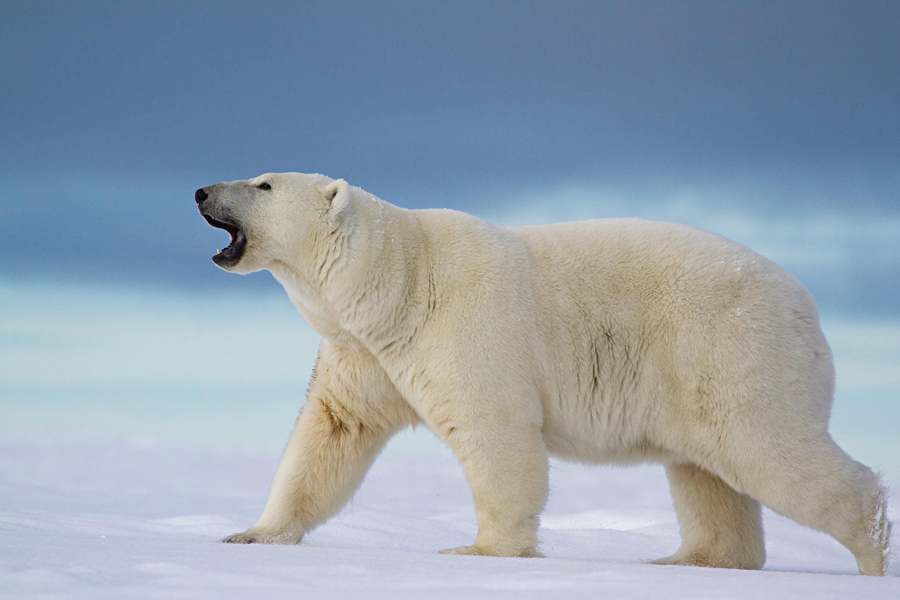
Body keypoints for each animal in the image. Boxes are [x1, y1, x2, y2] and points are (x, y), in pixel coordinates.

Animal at [193, 171, 888, 576]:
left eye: (263, 184)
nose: (201, 191)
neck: (402, 284)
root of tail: (808, 309)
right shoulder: (366, 354)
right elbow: (331, 434)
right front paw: (251, 535)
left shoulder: (465, 326)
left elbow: (495, 430)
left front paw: (479, 551)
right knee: (706, 473)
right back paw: (686, 559)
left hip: (732, 350)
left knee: (765, 449)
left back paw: (872, 548)